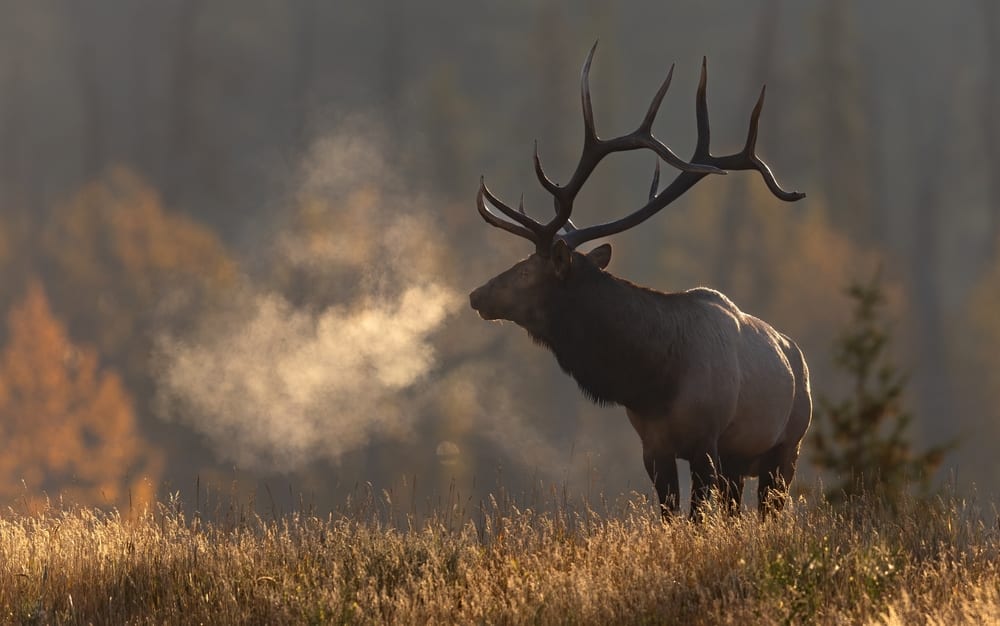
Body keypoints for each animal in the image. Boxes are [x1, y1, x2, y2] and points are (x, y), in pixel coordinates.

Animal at [469, 44, 812, 519]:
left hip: (786, 448)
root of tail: (798, 356)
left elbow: (697, 519)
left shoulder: (706, 442)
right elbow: (669, 515)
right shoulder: (654, 446)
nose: (475, 295)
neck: (653, 381)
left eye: (524, 271)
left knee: (767, 508)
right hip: (740, 462)